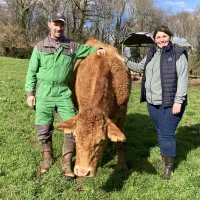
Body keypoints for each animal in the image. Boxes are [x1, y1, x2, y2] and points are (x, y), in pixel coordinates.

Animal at [55, 38, 132, 177]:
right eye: (75, 137)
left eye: (100, 141)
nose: (82, 171)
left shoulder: (123, 111)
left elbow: (120, 143)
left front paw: (122, 165)